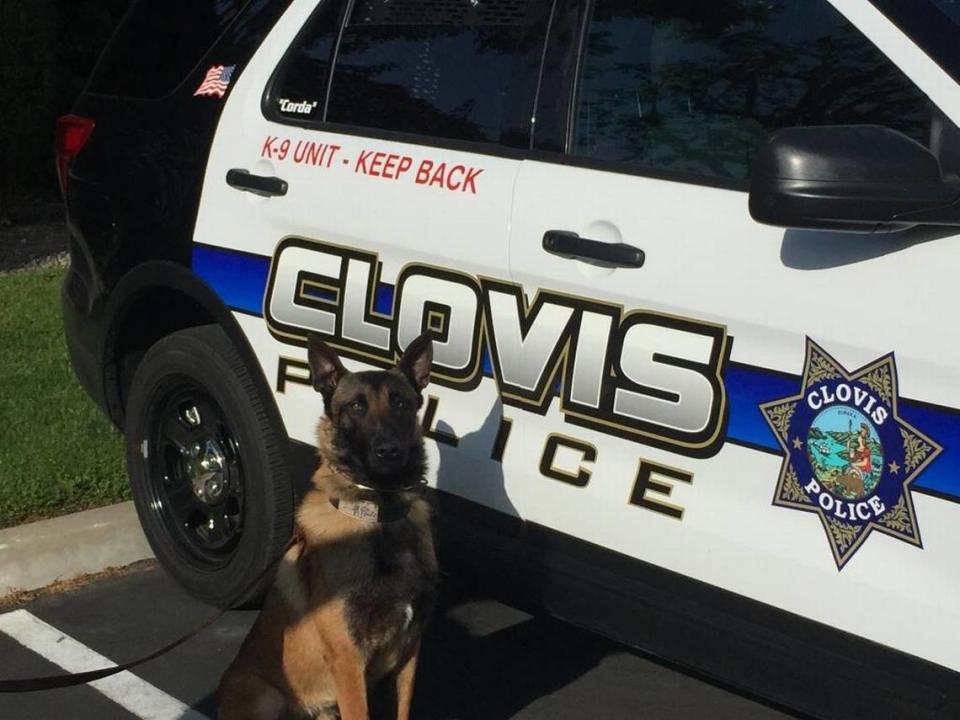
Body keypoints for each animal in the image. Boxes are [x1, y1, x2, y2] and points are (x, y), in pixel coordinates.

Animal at [218, 332, 438, 720]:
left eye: (399, 403)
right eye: (355, 407)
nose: (389, 451)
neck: (379, 515)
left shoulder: (410, 651)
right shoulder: (348, 660)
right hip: (266, 695)